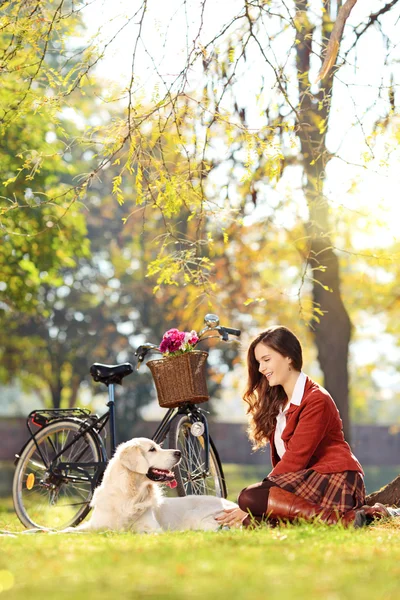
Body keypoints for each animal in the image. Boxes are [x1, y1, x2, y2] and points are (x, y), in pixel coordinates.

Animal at [66, 436, 238, 536]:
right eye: (152, 449)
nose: (179, 452)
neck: (130, 496)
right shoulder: (95, 524)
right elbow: (70, 530)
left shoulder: (152, 529)